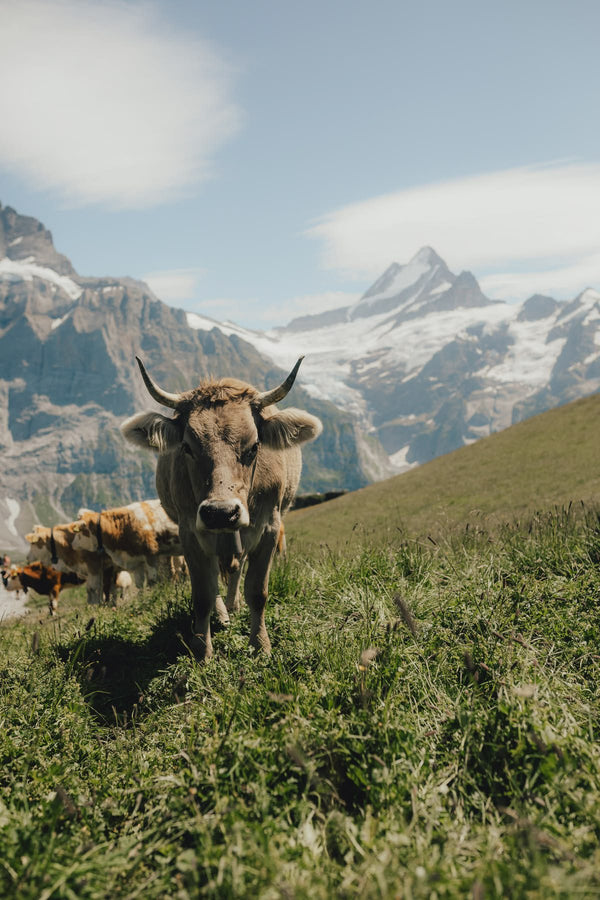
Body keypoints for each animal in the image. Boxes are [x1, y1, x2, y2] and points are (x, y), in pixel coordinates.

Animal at [120, 356, 322, 660]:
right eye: (187, 447)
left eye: (254, 446)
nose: (221, 512)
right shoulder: (190, 531)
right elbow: (203, 593)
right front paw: (202, 650)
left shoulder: (269, 526)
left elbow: (257, 591)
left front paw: (260, 645)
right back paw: (223, 614)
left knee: (237, 568)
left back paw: (234, 605)